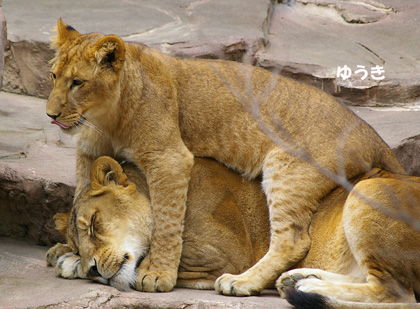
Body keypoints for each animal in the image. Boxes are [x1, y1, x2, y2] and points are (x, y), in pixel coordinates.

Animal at [47, 156, 420, 306]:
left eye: (95, 225)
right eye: (80, 242)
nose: (94, 268)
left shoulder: (227, 253)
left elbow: (150, 261)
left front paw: (70, 263)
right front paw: (64, 254)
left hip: (369, 190)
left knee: (396, 293)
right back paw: (299, 280)